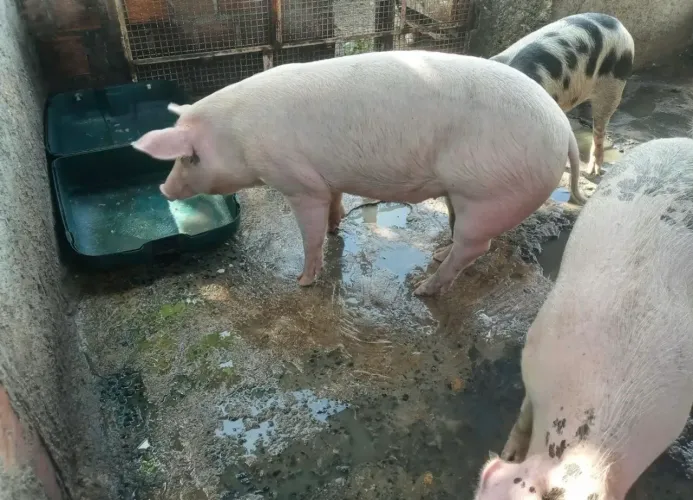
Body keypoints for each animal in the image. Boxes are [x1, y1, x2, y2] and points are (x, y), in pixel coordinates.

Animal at [131, 50, 585, 296]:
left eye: (188, 158)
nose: (164, 188)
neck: (238, 138)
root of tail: (564, 130)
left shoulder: (298, 182)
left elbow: (310, 234)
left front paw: (303, 281)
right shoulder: (325, 179)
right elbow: (333, 206)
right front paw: (336, 229)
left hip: (489, 195)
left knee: (476, 247)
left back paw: (424, 290)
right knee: (465, 244)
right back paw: (437, 260)